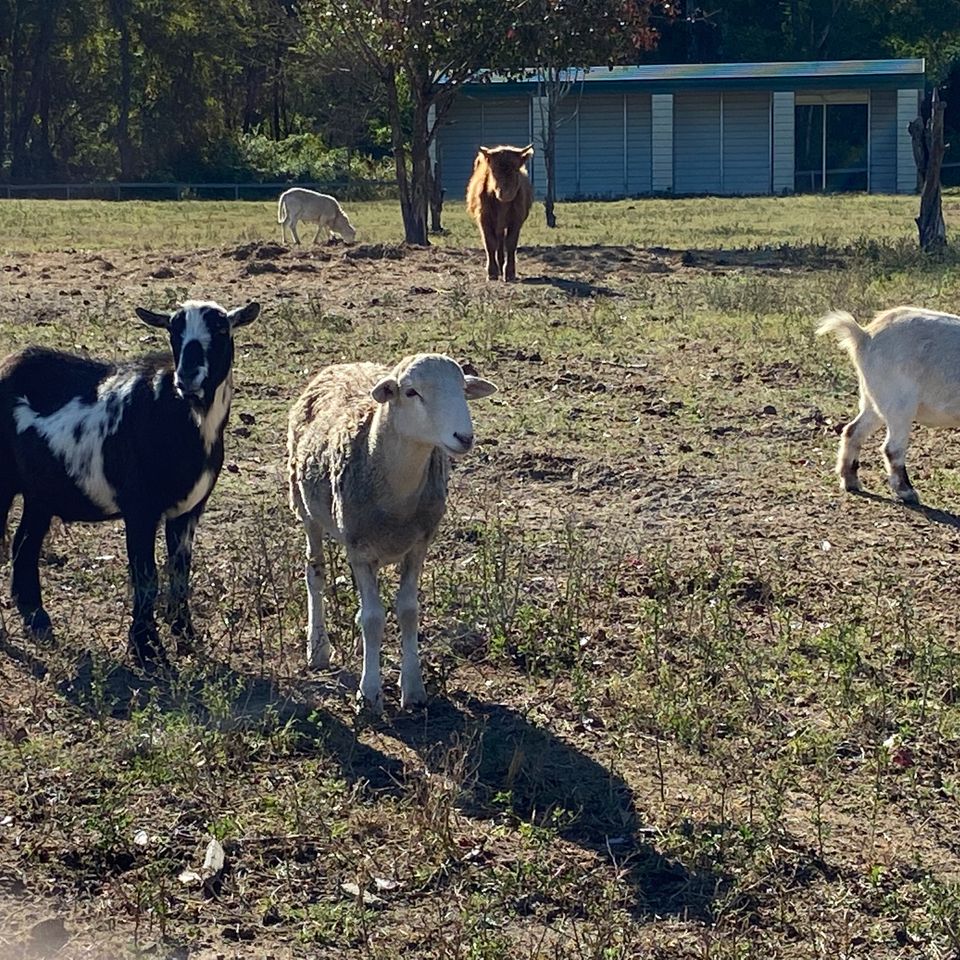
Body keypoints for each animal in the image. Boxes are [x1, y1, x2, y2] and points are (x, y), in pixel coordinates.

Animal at [0, 299, 260, 665]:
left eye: (222, 329)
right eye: (174, 330)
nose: (187, 376)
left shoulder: (190, 509)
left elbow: (179, 572)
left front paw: (186, 639)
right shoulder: (140, 508)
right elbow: (145, 574)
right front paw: (146, 650)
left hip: (40, 490)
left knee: (25, 543)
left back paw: (38, 622)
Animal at [287, 354, 497, 712]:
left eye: (463, 389)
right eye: (411, 392)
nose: (464, 437)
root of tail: (346, 363)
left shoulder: (418, 545)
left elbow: (408, 612)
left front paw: (412, 688)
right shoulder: (358, 549)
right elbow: (372, 619)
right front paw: (369, 692)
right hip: (305, 508)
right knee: (315, 573)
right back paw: (318, 649)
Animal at [466, 144, 534, 281]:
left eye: (516, 170)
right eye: (493, 170)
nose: (506, 193)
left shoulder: (516, 220)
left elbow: (511, 243)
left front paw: (510, 272)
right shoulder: (484, 219)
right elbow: (490, 243)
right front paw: (492, 272)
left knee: (501, 241)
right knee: (498, 242)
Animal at [817, 305, 960, 504]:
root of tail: (864, 335)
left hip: (873, 401)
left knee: (853, 431)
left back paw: (851, 481)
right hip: (899, 405)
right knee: (892, 448)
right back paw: (907, 492)